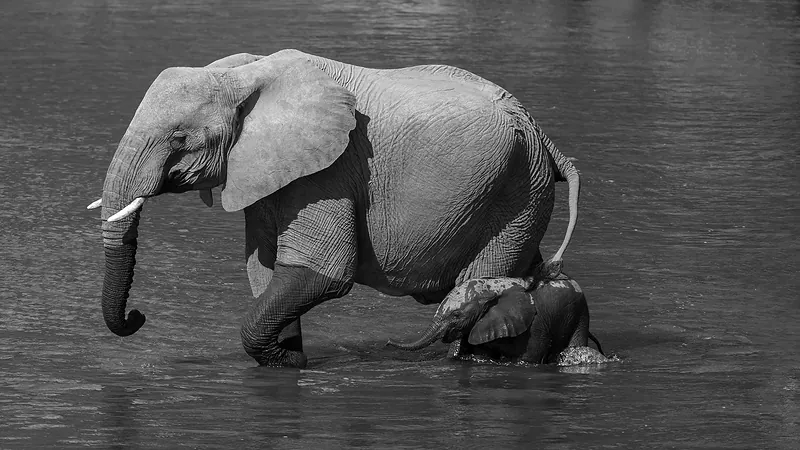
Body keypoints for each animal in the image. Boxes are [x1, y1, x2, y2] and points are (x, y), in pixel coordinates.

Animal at [87, 49, 581, 368]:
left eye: (179, 138)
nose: (137, 317)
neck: (245, 75)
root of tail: (545, 137)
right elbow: (263, 271)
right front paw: (288, 357)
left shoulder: (331, 170)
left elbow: (321, 273)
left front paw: (286, 357)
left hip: (517, 190)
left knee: (481, 284)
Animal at [387, 275, 605, 365]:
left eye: (456, 315)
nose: (388, 341)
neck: (490, 289)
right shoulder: (479, 325)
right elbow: (480, 355)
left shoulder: (535, 324)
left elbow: (529, 358)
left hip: (579, 312)